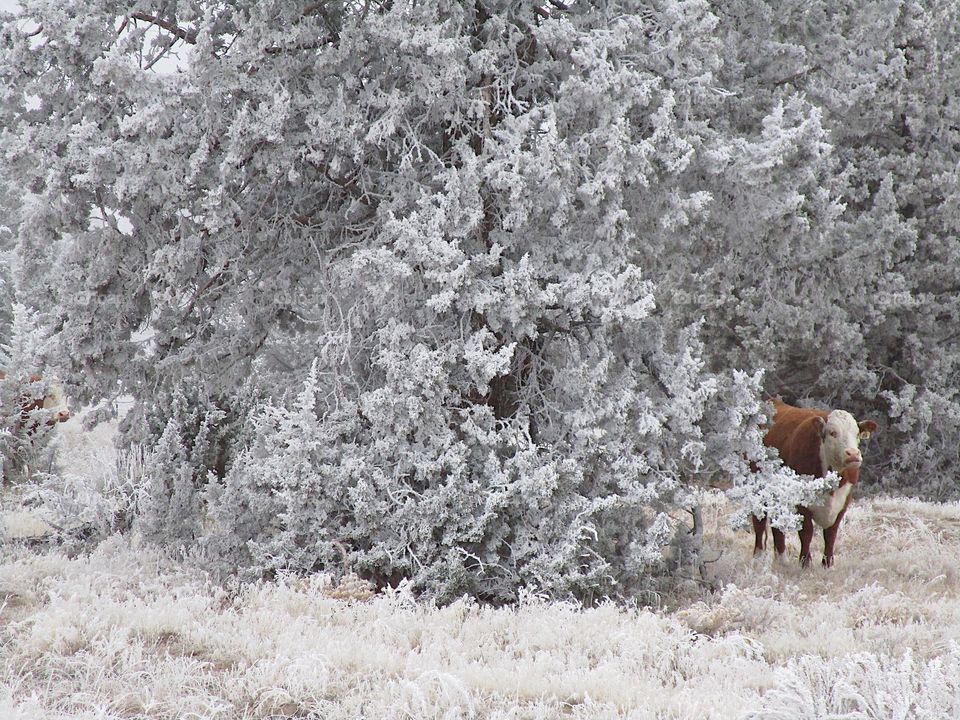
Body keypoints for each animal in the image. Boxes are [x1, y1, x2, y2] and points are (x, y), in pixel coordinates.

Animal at [752, 400, 880, 568]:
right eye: (833, 433)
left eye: (857, 434)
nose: (852, 454)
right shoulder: (801, 501)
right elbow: (806, 532)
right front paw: (805, 562)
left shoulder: (844, 501)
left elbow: (831, 533)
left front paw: (828, 564)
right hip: (756, 489)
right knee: (759, 521)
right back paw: (758, 556)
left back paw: (782, 559)